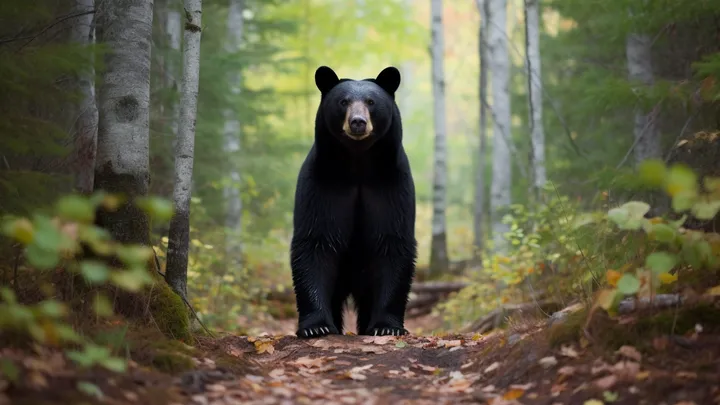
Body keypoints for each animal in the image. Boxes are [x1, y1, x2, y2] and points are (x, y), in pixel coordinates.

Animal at [290, 65, 417, 338]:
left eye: (371, 102)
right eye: (343, 101)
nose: (358, 122)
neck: (357, 164)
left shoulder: (390, 185)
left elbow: (392, 243)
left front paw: (386, 326)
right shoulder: (323, 184)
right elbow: (315, 242)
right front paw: (316, 326)